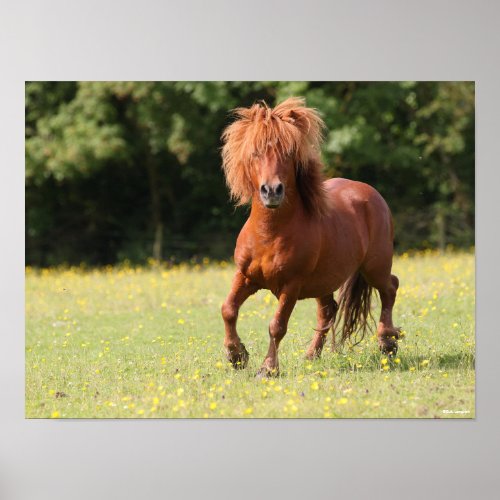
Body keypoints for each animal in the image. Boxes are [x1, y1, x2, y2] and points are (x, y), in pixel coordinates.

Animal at [221, 98, 400, 376]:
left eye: (288, 154)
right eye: (255, 153)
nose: (272, 191)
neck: (269, 233)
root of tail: (371, 193)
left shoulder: (291, 286)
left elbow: (277, 325)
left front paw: (267, 369)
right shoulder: (245, 276)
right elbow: (228, 310)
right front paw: (236, 355)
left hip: (375, 266)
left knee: (390, 288)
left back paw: (388, 343)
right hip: (324, 280)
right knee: (328, 311)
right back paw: (311, 355)